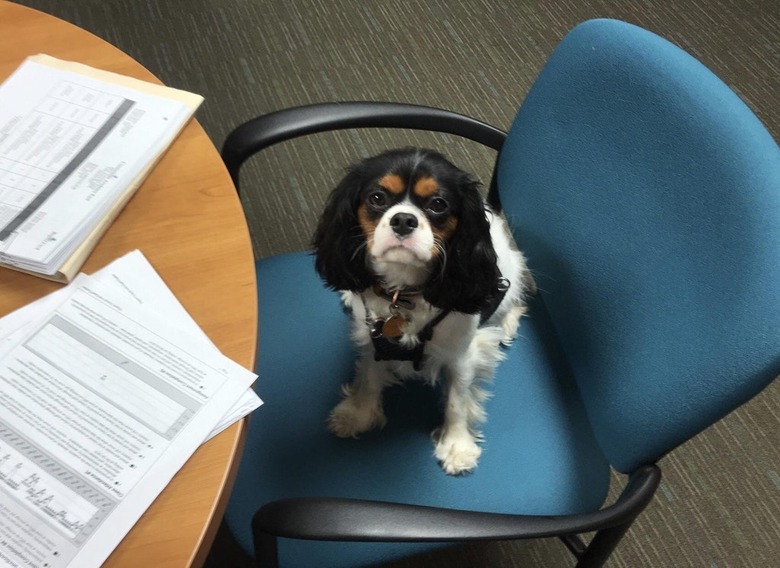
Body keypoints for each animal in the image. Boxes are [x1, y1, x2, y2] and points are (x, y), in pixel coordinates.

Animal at [314, 148, 532, 474]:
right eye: (377, 198)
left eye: (438, 204)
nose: (404, 219)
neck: (403, 293)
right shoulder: (375, 339)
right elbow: (369, 377)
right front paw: (358, 413)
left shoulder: (460, 354)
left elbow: (457, 398)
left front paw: (456, 445)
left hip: (511, 271)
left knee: (514, 301)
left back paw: (505, 325)